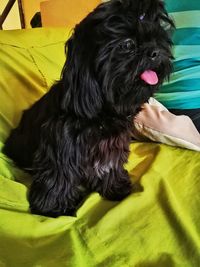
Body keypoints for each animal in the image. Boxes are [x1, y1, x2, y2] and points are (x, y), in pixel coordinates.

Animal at [3, 0, 174, 218]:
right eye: (127, 44)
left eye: (157, 39)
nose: (155, 51)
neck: (102, 114)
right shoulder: (60, 145)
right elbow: (59, 174)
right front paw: (52, 207)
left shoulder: (112, 145)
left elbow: (110, 164)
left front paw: (115, 187)